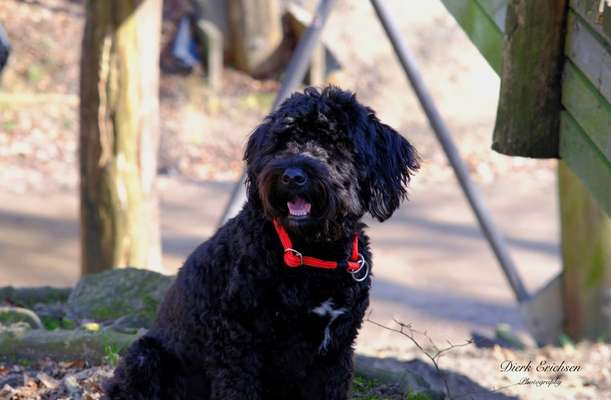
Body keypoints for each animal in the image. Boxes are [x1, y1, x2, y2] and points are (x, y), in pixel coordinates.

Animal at [106, 87, 420, 400]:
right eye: (283, 141)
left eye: (336, 144)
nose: (293, 176)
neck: (312, 253)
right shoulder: (238, 343)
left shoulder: (335, 351)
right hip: (145, 357)